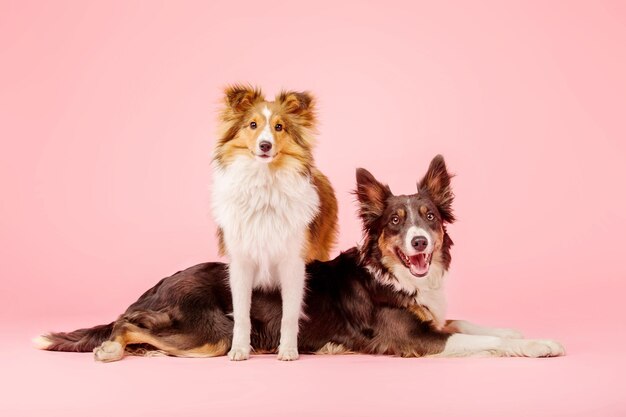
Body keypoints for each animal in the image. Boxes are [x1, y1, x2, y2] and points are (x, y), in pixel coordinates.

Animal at [35, 154, 564, 360]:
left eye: (430, 217)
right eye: (395, 223)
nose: (419, 243)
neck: (395, 275)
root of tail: (160, 282)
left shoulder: (434, 319)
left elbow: (484, 326)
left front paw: (533, 336)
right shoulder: (415, 339)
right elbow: (482, 340)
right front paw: (537, 346)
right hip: (214, 333)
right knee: (126, 324)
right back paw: (109, 348)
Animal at [210, 85, 336, 360]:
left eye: (280, 127)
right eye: (252, 124)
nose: (265, 145)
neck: (264, 183)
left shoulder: (293, 262)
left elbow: (289, 314)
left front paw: (288, 350)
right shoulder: (241, 263)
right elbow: (242, 314)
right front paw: (239, 349)